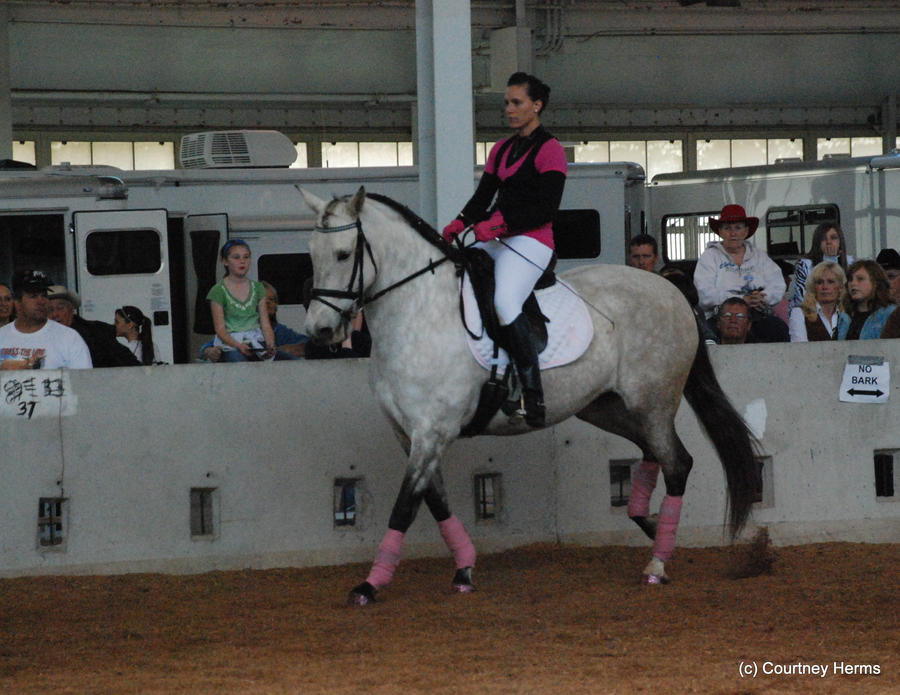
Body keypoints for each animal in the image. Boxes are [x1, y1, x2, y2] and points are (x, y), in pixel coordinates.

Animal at [302, 188, 760, 608]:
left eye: (343, 254)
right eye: (311, 254)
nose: (320, 331)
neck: (419, 312)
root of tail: (673, 292)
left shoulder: (432, 432)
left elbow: (405, 506)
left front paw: (370, 585)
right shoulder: (409, 434)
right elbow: (434, 500)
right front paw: (464, 569)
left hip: (653, 402)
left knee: (677, 462)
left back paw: (657, 562)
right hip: (605, 407)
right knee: (654, 453)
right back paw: (647, 522)